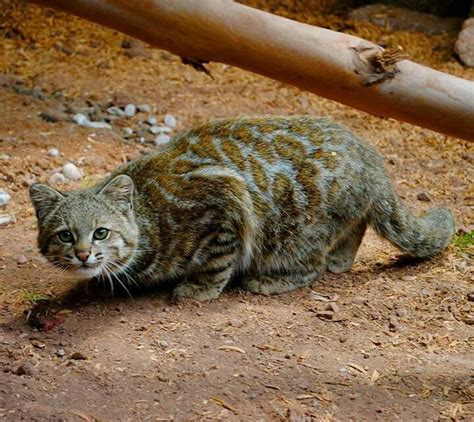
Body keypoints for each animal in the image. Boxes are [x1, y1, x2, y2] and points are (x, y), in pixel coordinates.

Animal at [28, 115, 456, 300]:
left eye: (101, 232)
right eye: (65, 235)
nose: (84, 254)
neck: (150, 218)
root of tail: (371, 157)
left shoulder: (226, 200)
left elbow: (217, 259)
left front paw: (200, 288)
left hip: (296, 230)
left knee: (311, 264)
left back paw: (274, 279)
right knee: (358, 224)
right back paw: (342, 257)